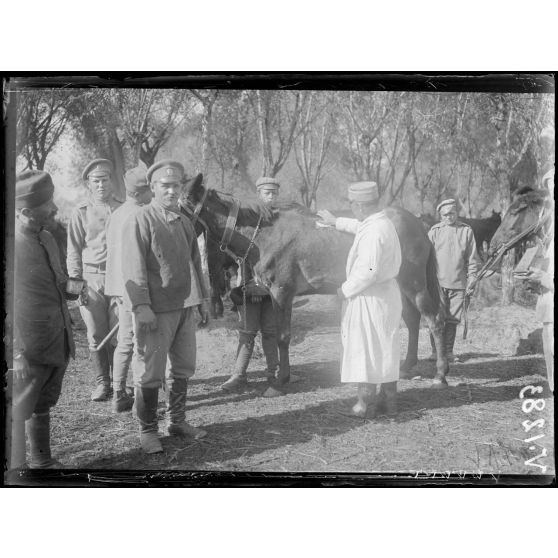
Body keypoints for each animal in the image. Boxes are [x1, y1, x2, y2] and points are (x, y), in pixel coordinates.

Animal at [184, 177, 450, 396]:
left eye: (180, 207)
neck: (265, 234)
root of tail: (419, 224)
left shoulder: (282, 293)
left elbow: (282, 337)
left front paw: (280, 380)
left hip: (413, 284)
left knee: (435, 320)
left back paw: (440, 374)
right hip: (400, 286)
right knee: (413, 321)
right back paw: (406, 366)